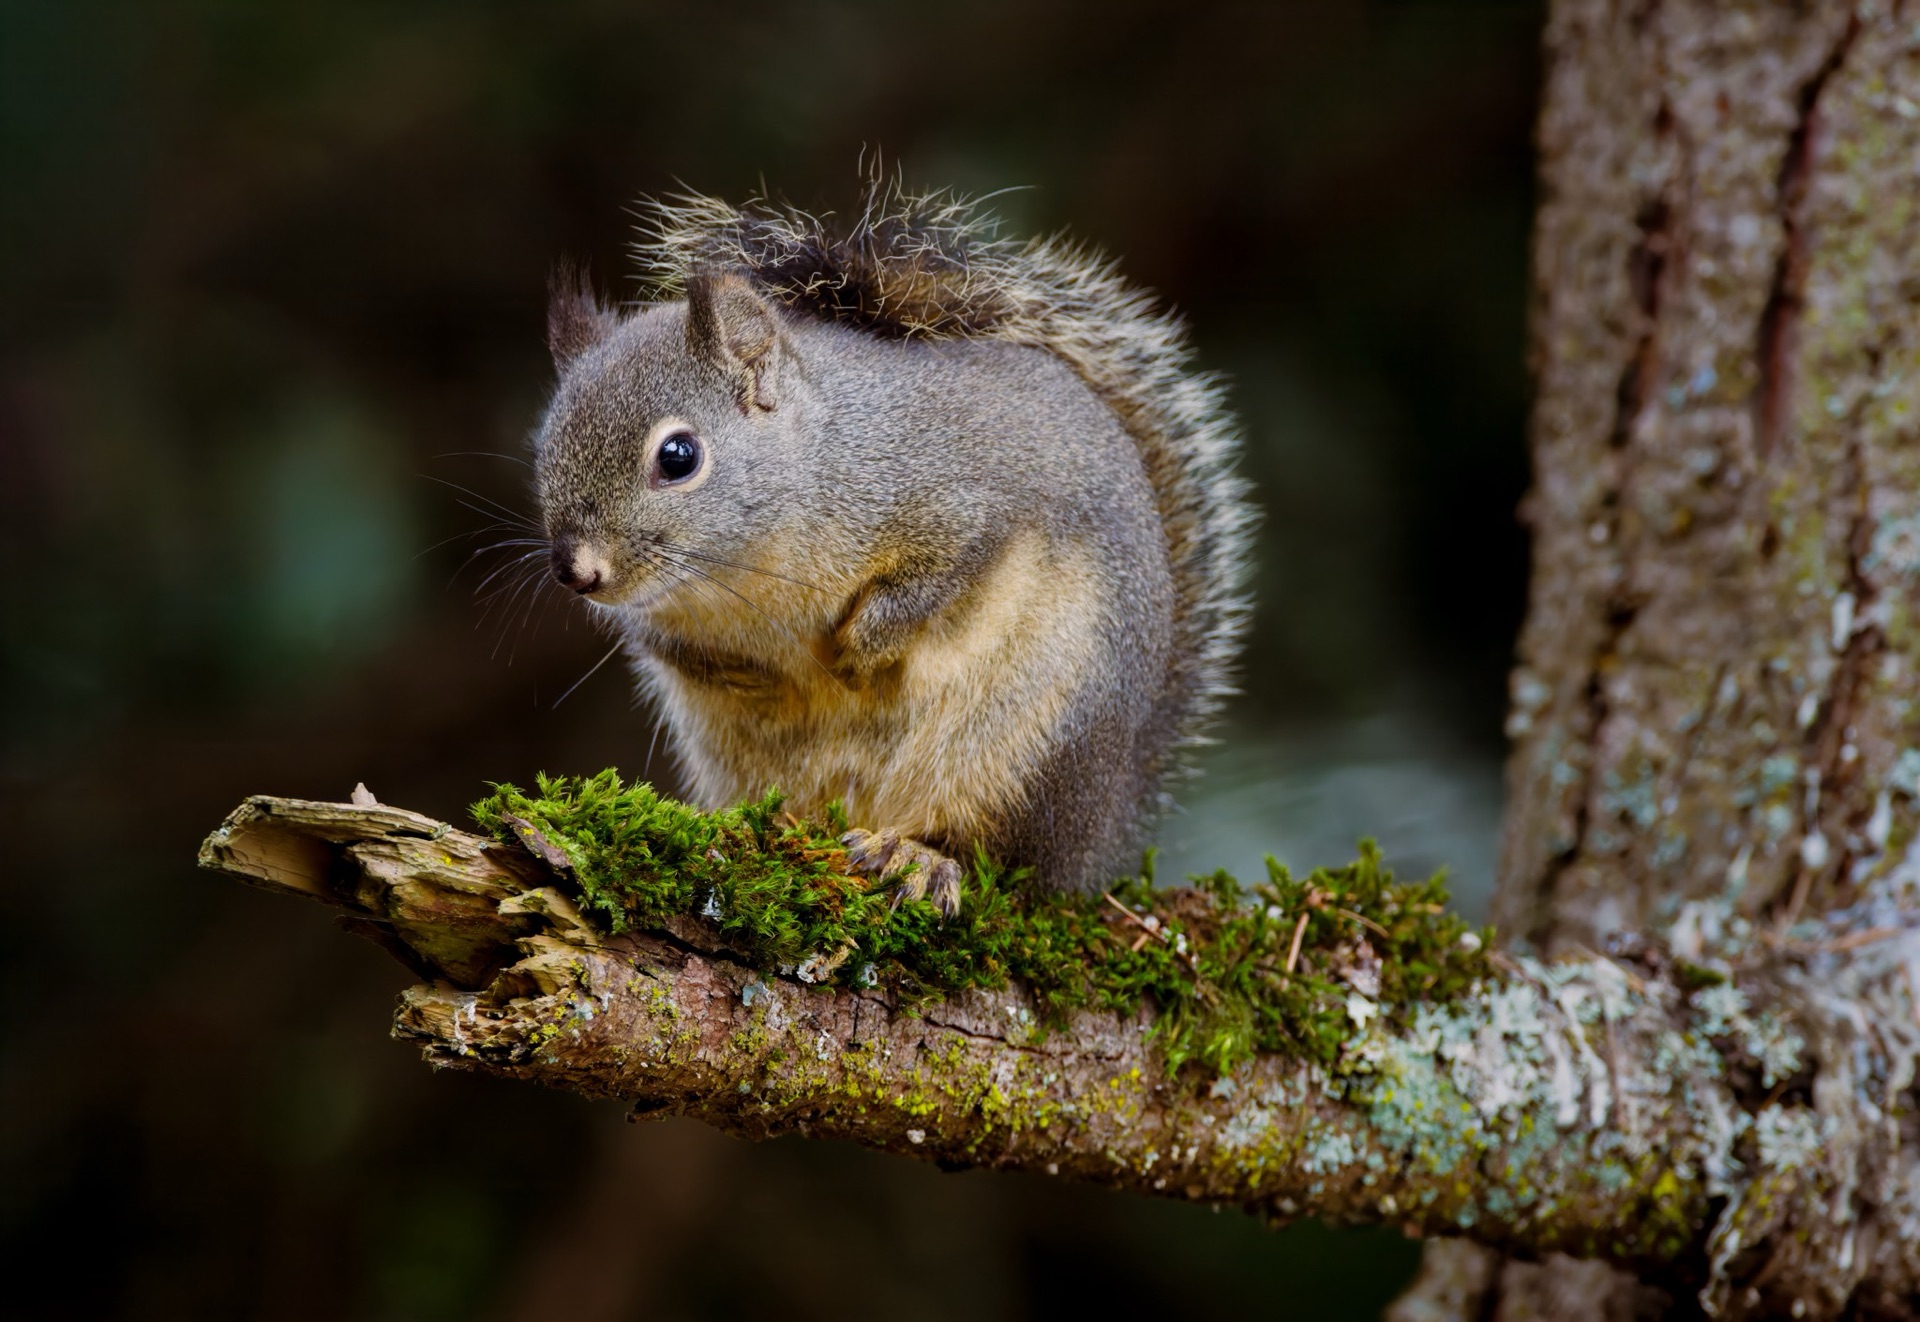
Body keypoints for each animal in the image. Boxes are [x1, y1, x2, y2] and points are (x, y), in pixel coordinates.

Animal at [534, 181, 1252, 915]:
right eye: (544, 447)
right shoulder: (651, 615)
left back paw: (918, 857)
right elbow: (662, 644)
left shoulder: (965, 505)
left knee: (1002, 861)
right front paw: (741, 673)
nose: (577, 572)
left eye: (678, 456)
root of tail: (1106, 830)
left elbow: (946, 574)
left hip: (1026, 747)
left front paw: (862, 647)